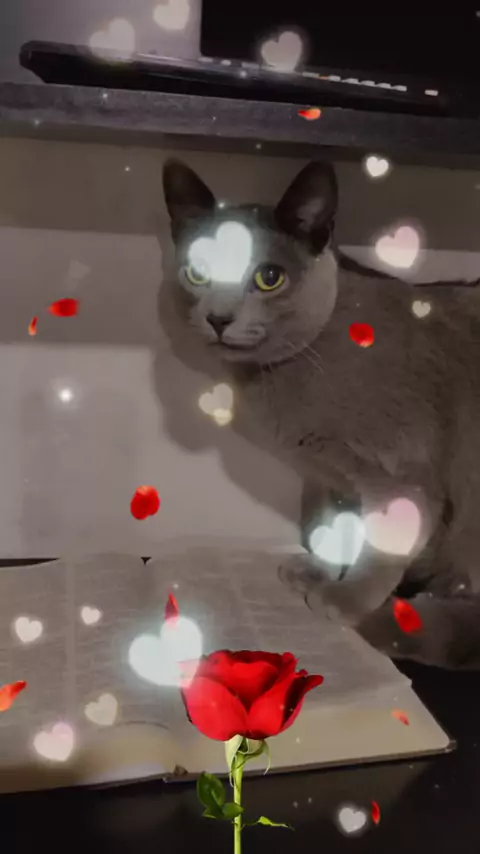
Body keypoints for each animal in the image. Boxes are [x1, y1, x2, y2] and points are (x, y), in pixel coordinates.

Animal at [161, 157, 480, 670]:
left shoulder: (401, 474)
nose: (219, 318)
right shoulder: (330, 479)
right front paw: (318, 571)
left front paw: (346, 599)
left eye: (269, 277)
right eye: (198, 271)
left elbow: (383, 546)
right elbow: (330, 527)